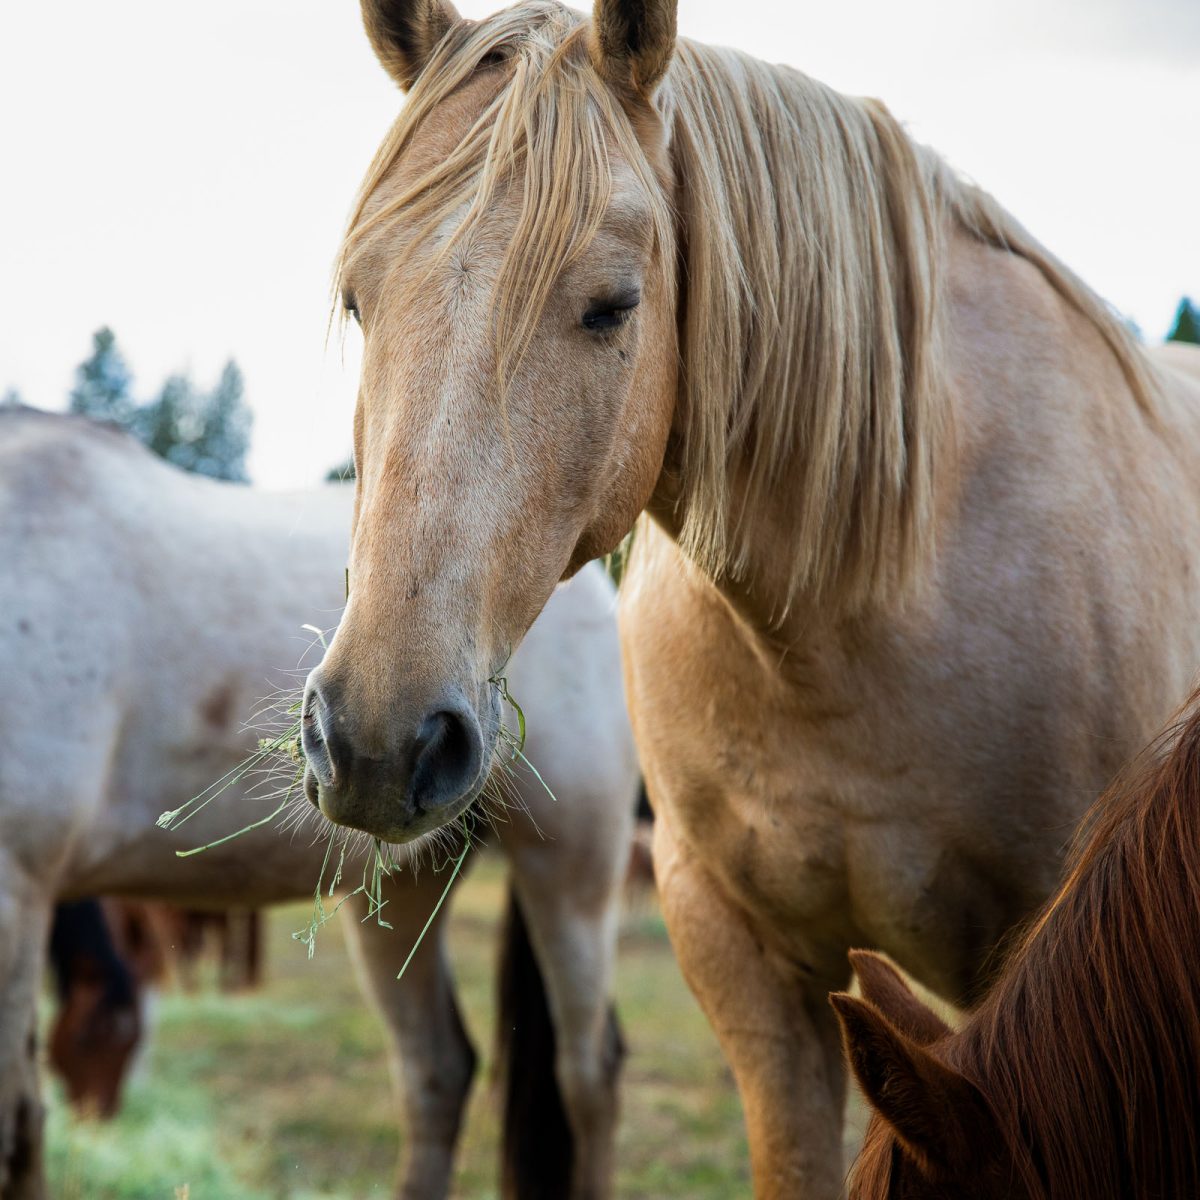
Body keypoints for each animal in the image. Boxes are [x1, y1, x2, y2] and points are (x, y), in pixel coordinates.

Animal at [0, 407, 637, 1200]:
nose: (101, 1114)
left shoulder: (15, 887)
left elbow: (14, 1128)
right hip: (402, 889)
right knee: (437, 1072)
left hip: (573, 866)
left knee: (589, 1074)